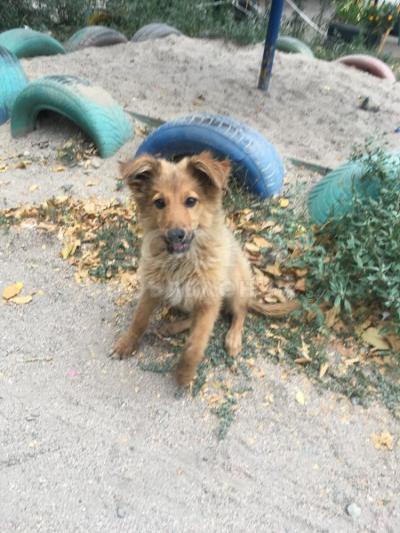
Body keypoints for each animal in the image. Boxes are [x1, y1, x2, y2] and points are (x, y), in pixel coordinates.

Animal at [113, 151, 298, 385]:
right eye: (159, 203)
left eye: (191, 201)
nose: (176, 234)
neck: (182, 261)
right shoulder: (152, 288)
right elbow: (139, 320)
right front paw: (126, 344)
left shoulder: (209, 300)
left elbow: (196, 343)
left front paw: (185, 374)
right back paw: (171, 326)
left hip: (235, 284)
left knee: (240, 311)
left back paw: (233, 338)